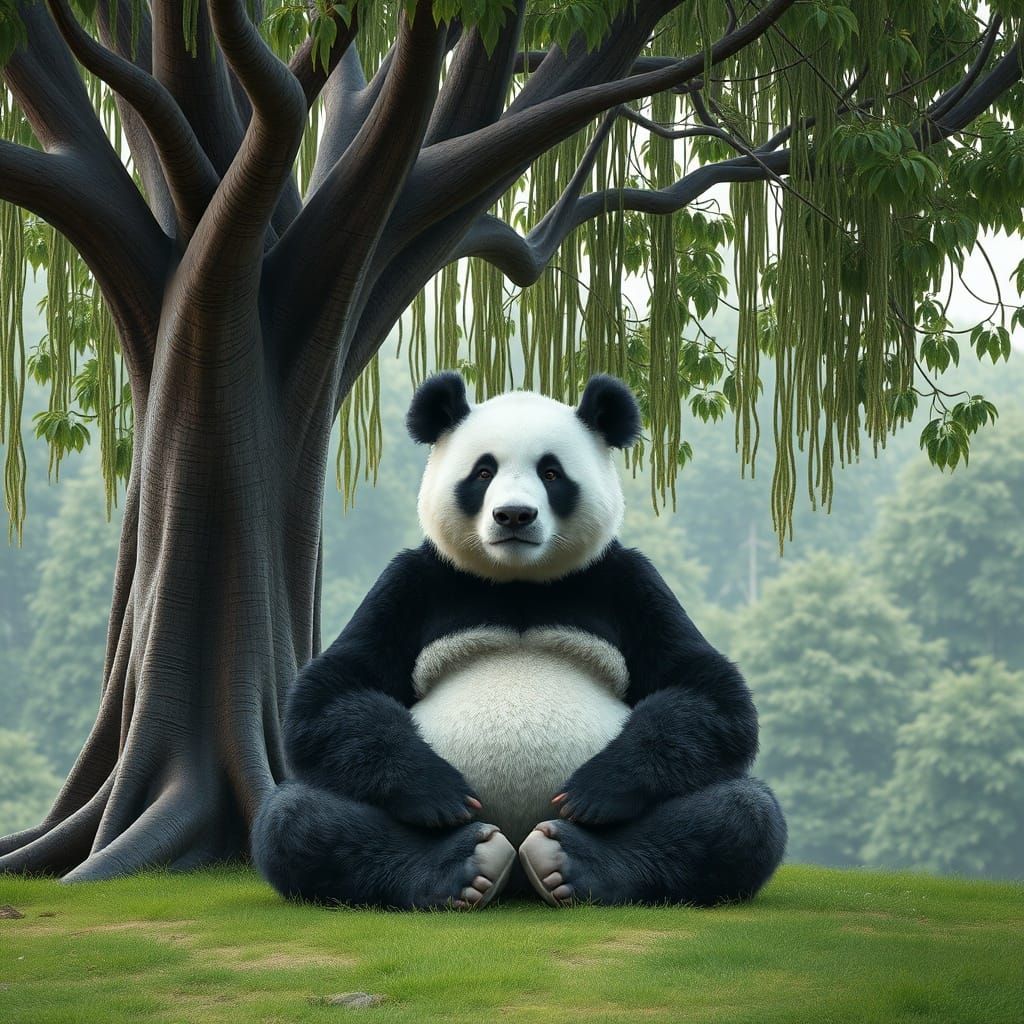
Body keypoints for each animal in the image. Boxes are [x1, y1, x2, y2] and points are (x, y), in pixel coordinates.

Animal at [252, 372, 787, 909]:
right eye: (483, 471)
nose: (514, 515)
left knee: (743, 814)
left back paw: (569, 861)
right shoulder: (412, 582)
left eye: (551, 473)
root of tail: (516, 880)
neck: (518, 580)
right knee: (294, 817)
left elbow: (708, 692)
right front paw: (439, 794)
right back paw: (463, 865)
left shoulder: (628, 581)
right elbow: (332, 693)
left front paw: (594, 792)